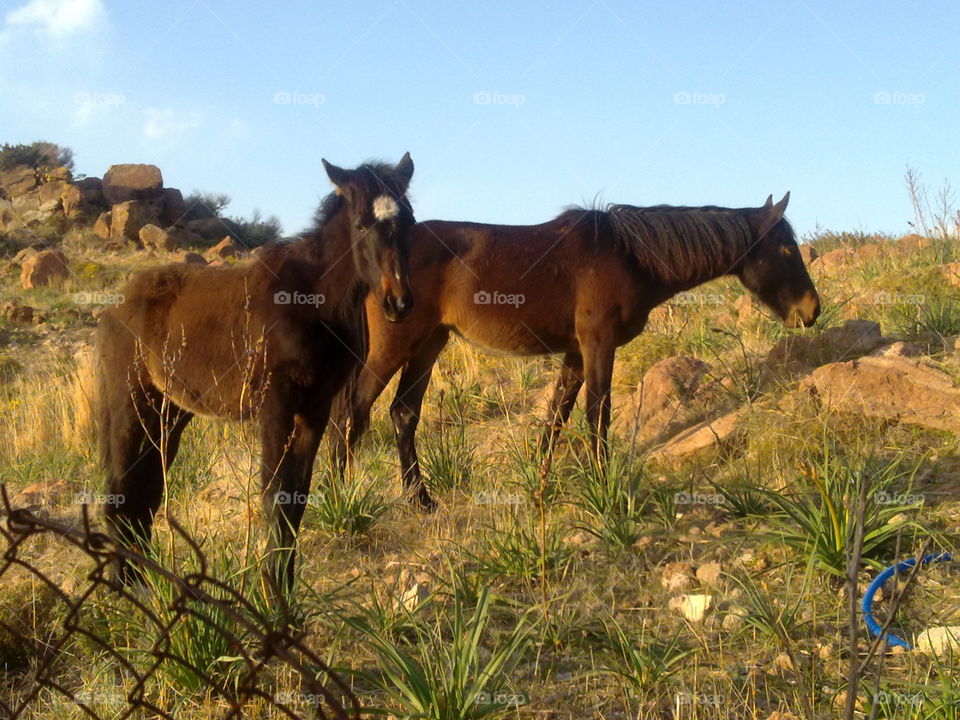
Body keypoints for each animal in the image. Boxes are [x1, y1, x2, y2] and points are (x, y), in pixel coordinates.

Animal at [99, 155, 418, 588]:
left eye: (410, 221)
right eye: (360, 224)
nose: (398, 303)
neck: (311, 301)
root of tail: (115, 307)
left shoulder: (314, 410)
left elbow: (296, 497)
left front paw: (285, 588)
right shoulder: (275, 408)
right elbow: (273, 494)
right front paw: (269, 591)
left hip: (169, 414)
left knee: (145, 490)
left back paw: (142, 581)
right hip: (130, 405)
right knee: (121, 488)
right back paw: (122, 589)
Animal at [330, 191, 816, 506]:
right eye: (786, 249)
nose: (812, 310)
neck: (630, 255)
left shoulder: (576, 353)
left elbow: (556, 417)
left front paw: (540, 486)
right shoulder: (598, 344)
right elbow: (597, 413)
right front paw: (603, 483)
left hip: (429, 343)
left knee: (402, 414)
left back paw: (421, 499)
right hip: (394, 345)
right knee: (352, 411)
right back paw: (339, 499)